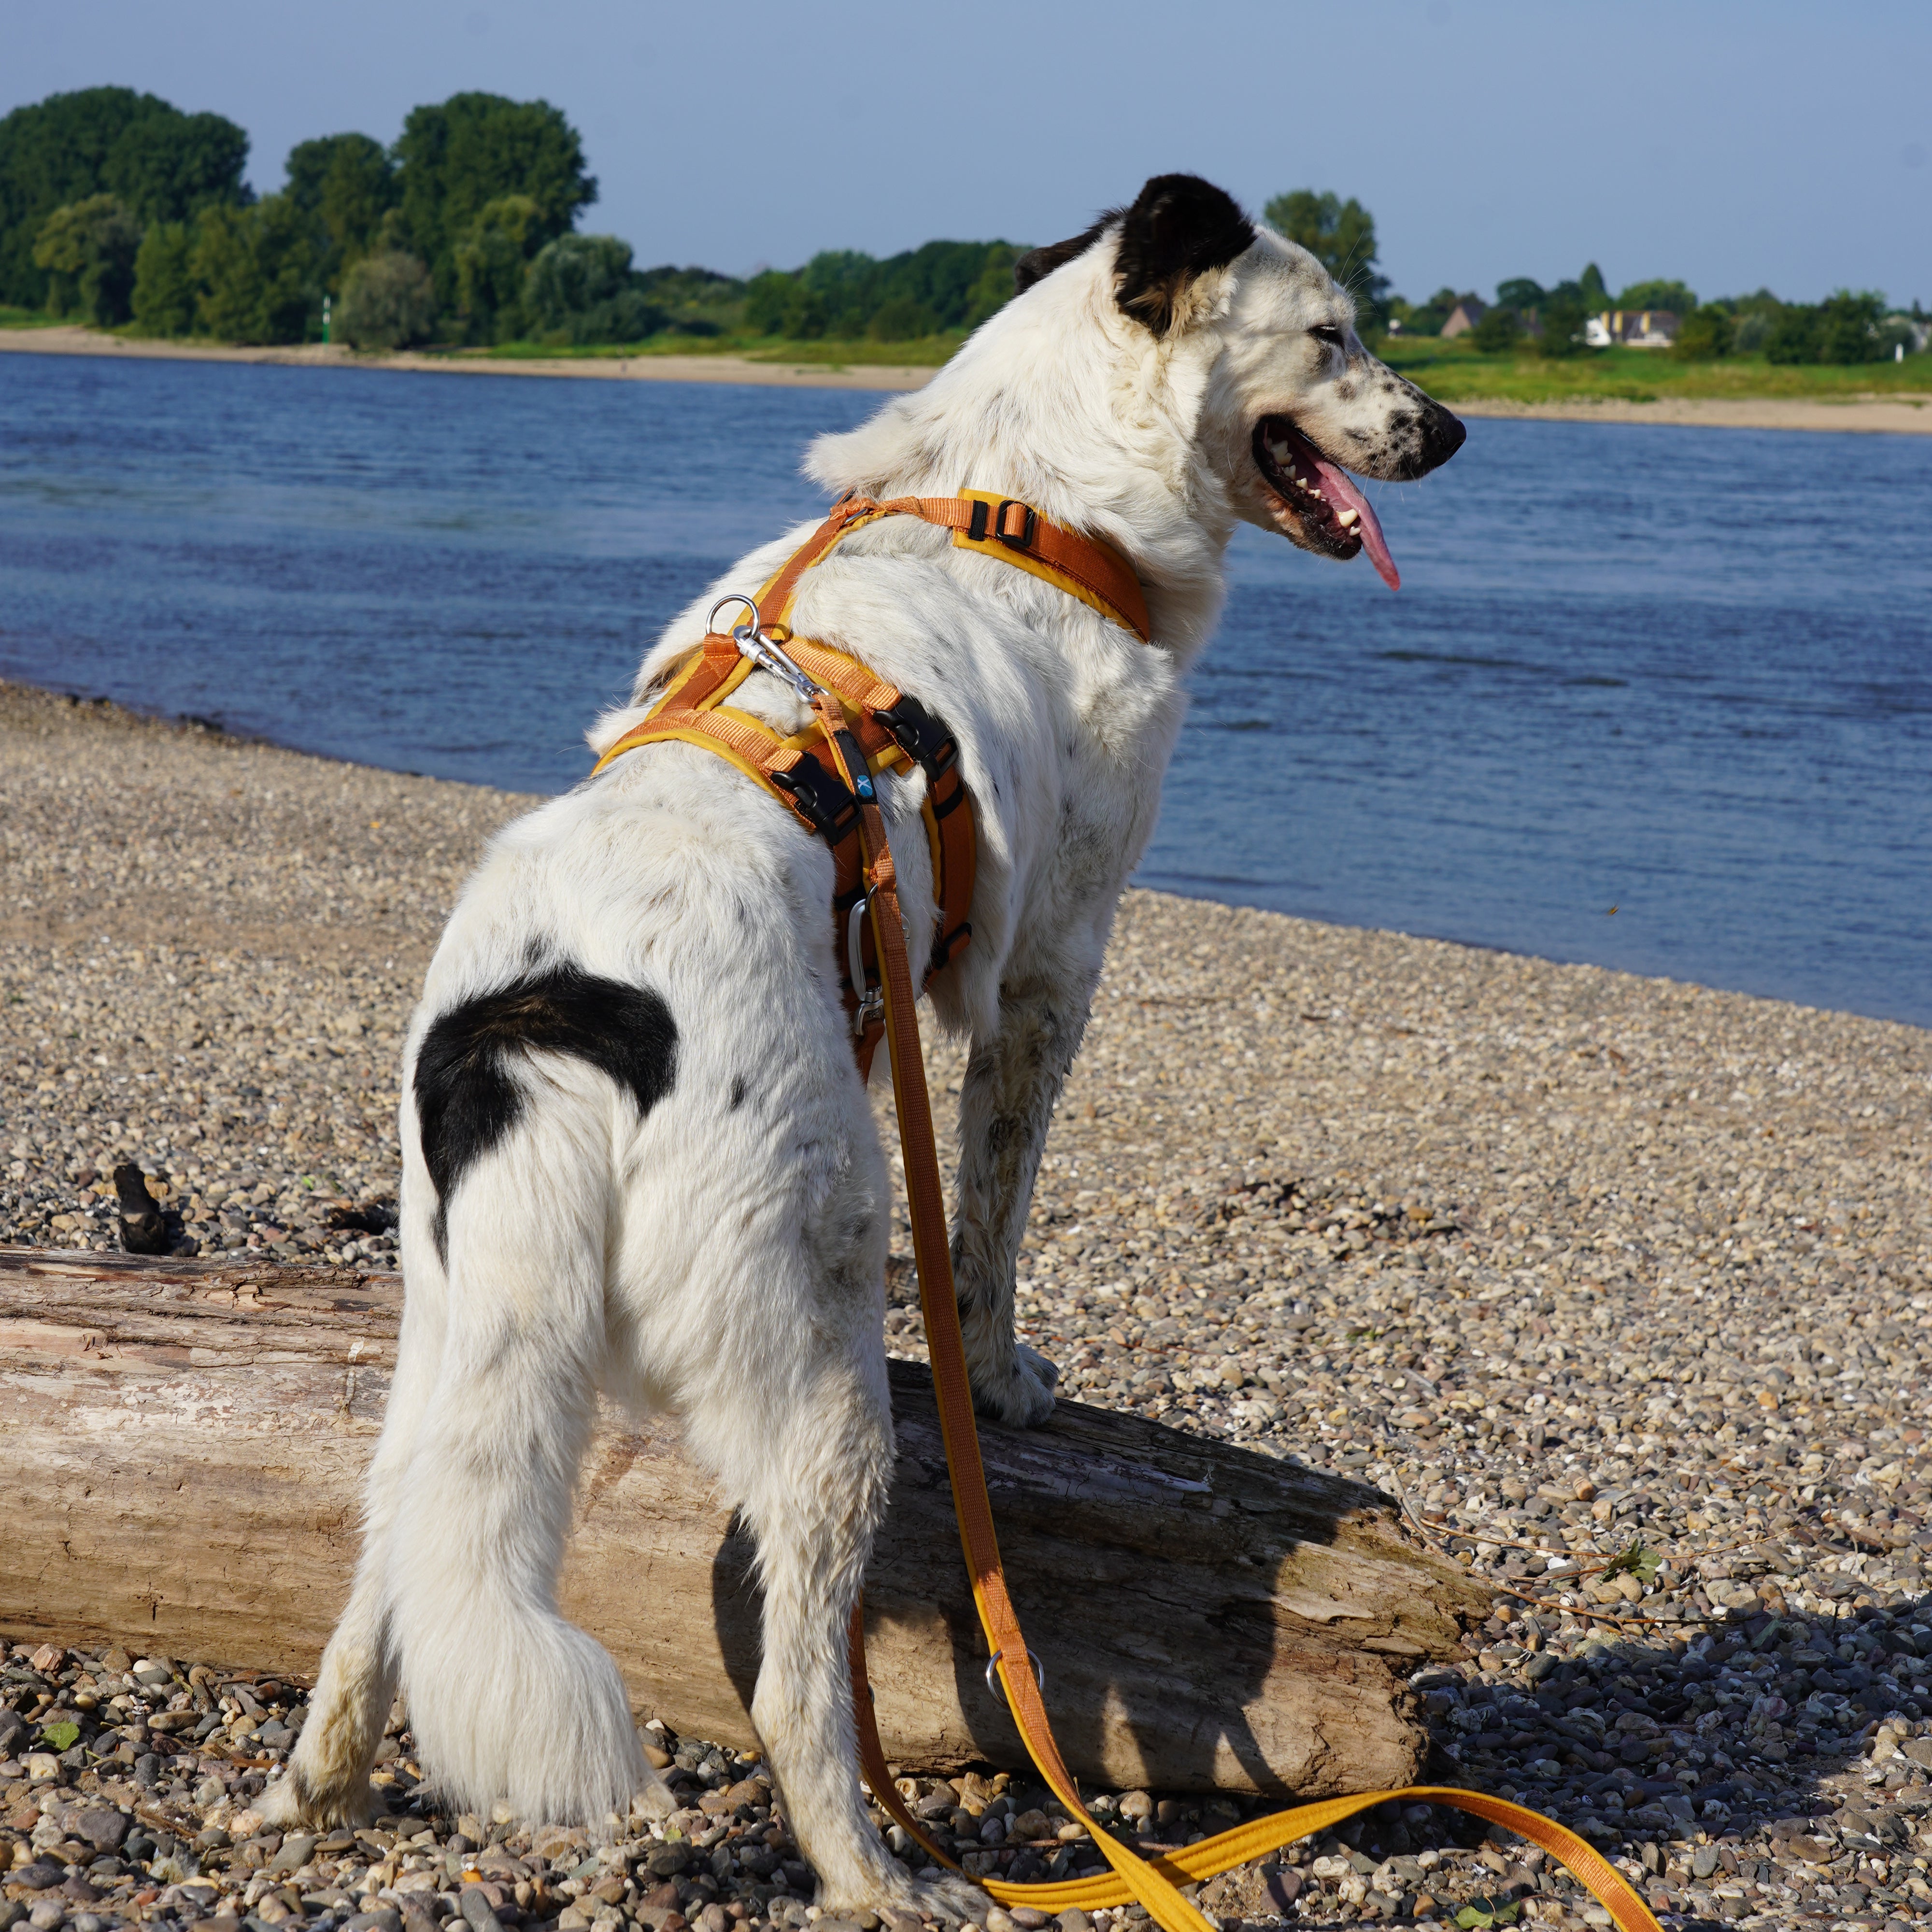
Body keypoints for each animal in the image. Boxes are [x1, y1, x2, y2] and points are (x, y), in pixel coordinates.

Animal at [265, 178, 1453, 1917]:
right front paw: (1006, 1379)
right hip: (821, 1381)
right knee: (789, 1689)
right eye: (1334, 334)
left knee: (401, 1569)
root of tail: (561, 1020)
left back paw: (309, 1792)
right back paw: (880, 1874)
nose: (1453, 427)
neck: (1024, 490)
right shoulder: (1048, 973)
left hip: (460, 1327)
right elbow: (992, 1227)